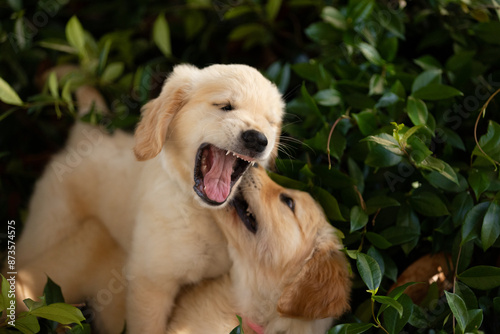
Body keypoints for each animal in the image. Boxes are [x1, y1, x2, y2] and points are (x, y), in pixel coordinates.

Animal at [12, 64, 286, 332]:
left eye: (270, 122)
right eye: (225, 106)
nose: (258, 140)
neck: (204, 213)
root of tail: (89, 137)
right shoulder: (151, 283)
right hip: (47, 228)